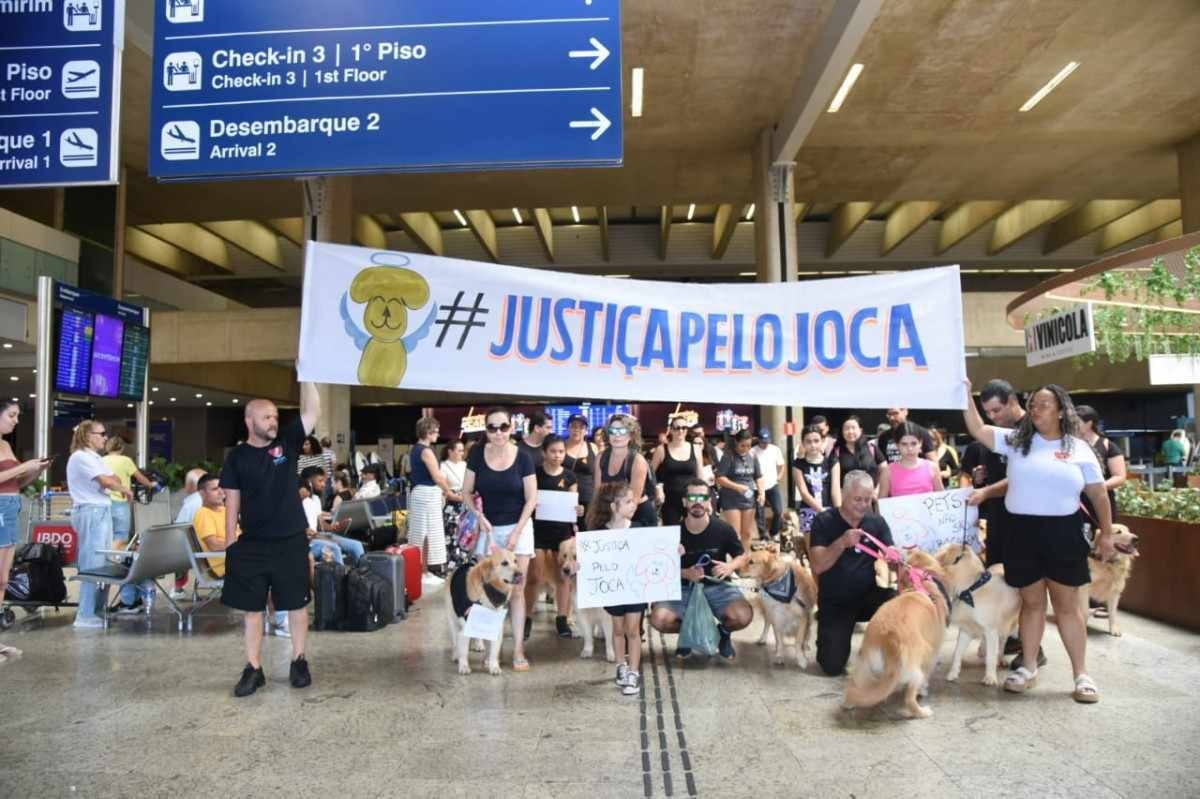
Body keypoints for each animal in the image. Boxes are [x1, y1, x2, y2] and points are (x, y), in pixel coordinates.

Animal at [840, 547, 950, 715]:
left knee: (856, 682)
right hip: (918, 662)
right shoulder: (933, 651)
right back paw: (922, 711)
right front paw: (924, 690)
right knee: (910, 699)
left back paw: (849, 703)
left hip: (865, 662)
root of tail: (890, 636)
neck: (919, 584)